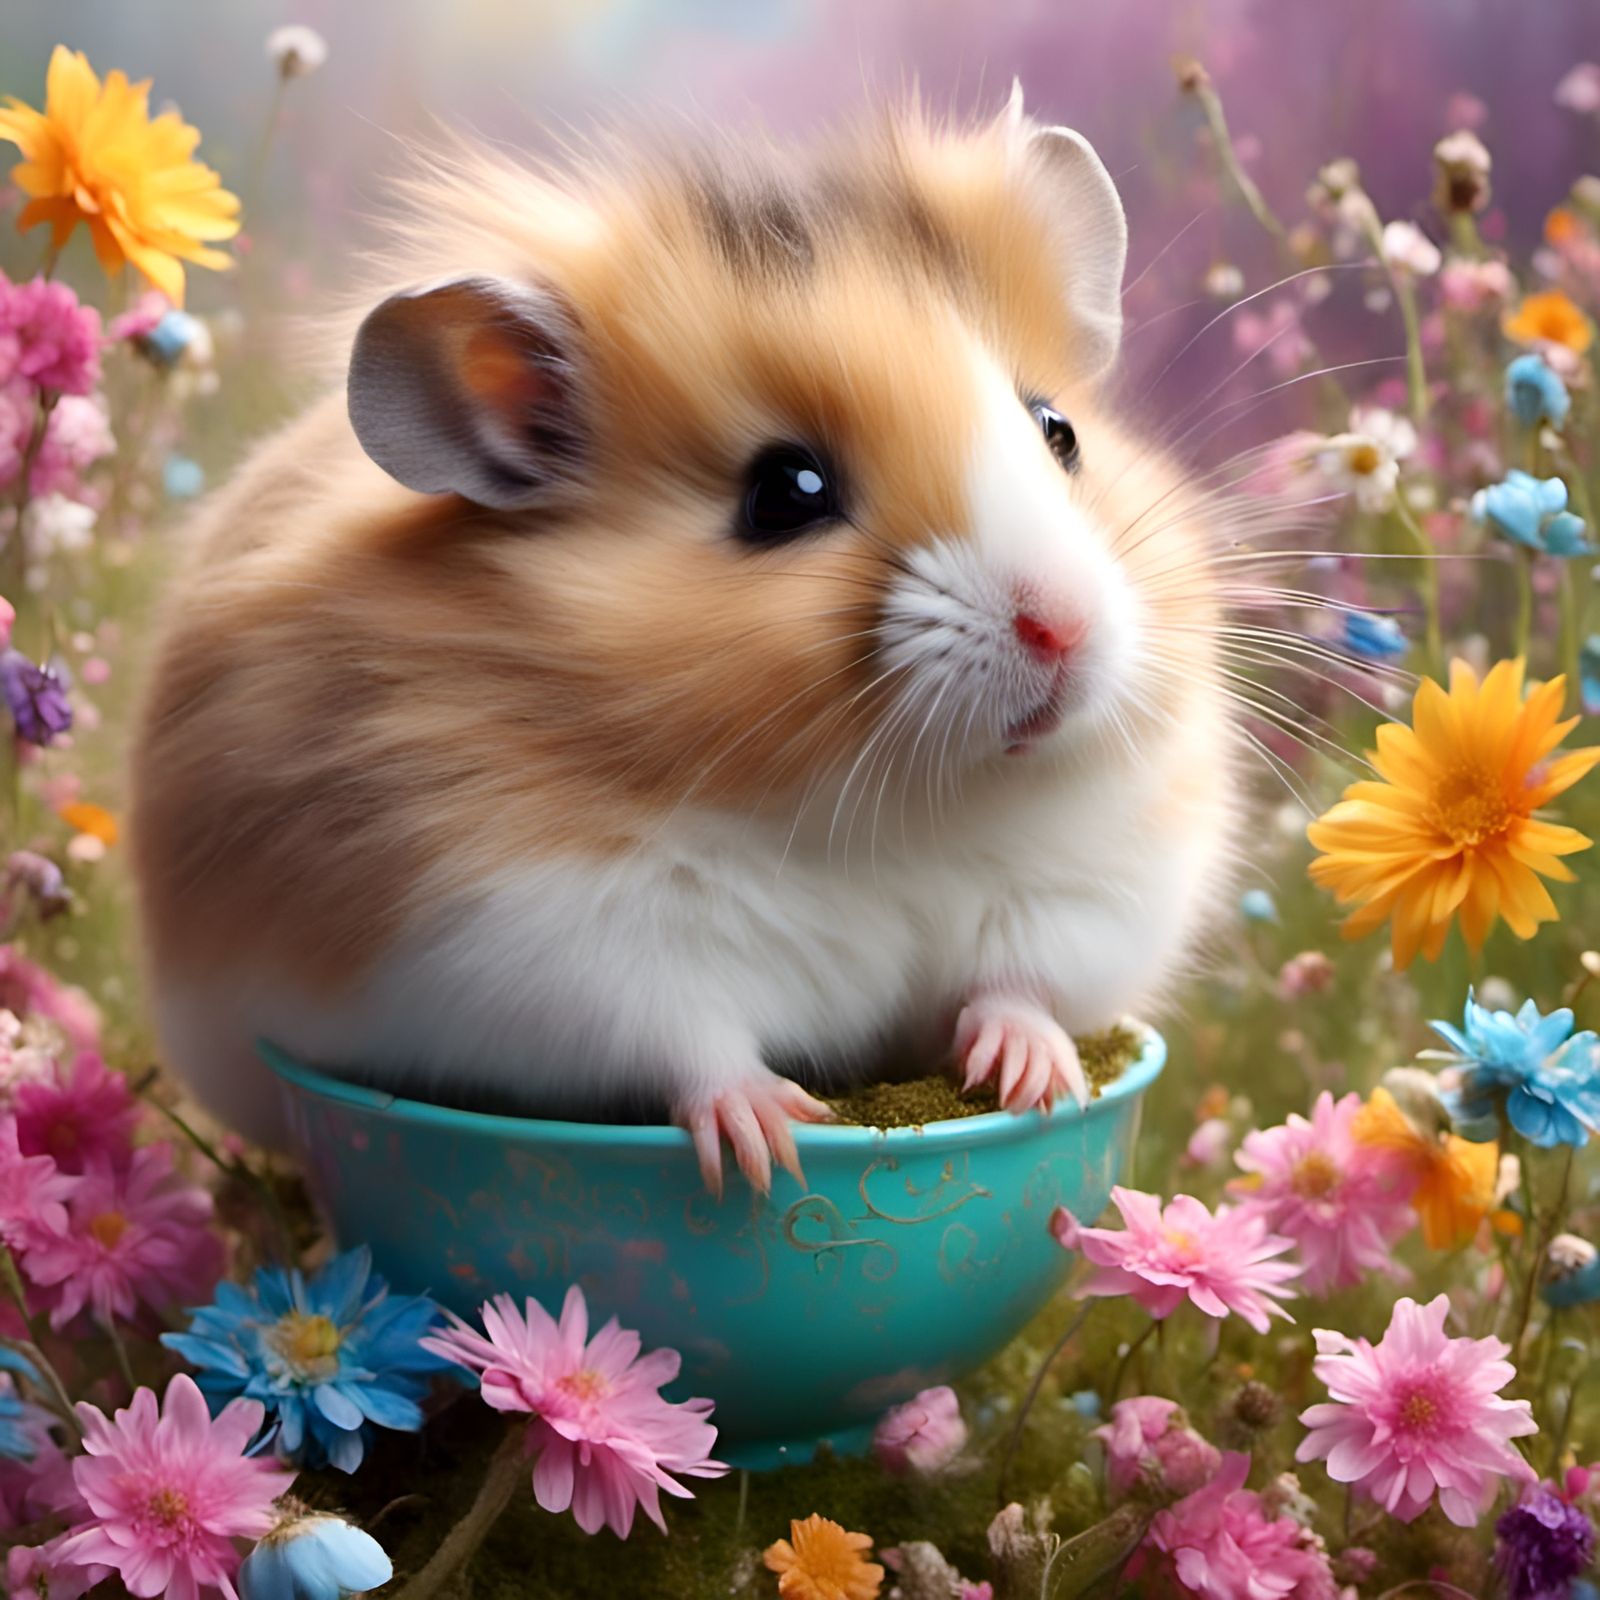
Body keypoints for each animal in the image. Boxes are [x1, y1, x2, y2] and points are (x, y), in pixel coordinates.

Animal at [128, 86, 1242, 1197]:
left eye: (1058, 431)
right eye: (785, 491)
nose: (1062, 627)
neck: (891, 811)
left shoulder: (1093, 891)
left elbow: (1022, 984)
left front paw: (1038, 1082)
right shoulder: (550, 944)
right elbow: (693, 1044)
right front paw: (771, 1146)